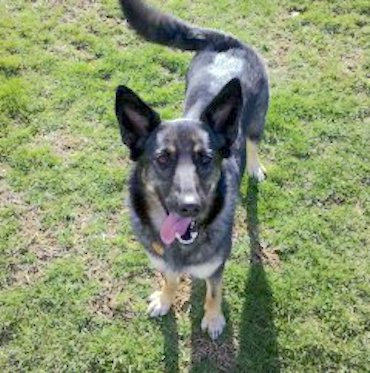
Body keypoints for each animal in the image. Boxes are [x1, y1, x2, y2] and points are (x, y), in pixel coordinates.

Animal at [115, 0, 268, 338]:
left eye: (205, 159)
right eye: (162, 159)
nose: (189, 207)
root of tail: (227, 42)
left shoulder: (217, 266)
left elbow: (214, 292)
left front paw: (213, 318)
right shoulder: (165, 262)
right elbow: (170, 278)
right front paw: (165, 299)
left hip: (255, 121)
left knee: (252, 141)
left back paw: (254, 167)